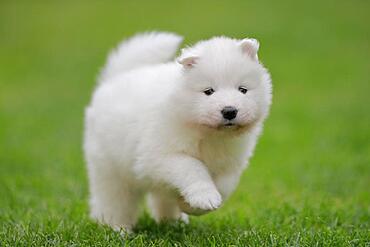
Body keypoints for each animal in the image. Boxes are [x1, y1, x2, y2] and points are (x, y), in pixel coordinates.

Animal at [84, 31, 272, 231]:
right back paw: (116, 228)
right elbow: (191, 167)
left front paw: (189, 205)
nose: (229, 111)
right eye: (209, 91)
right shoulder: (160, 155)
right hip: (109, 168)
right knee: (113, 200)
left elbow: (225, 185)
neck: (208, 134)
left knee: (161, 198)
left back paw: (173, 221)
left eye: (243, 89)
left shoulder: (231, 162)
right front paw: (204, 198)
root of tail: (114, 79)